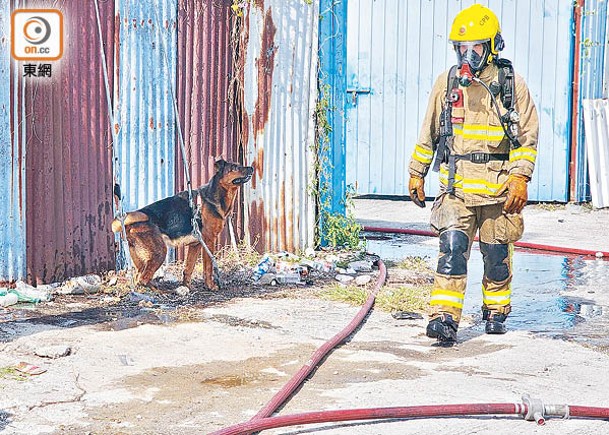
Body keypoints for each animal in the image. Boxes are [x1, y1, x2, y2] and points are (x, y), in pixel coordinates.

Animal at [111, 159, 252, 290]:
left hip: (142, 258)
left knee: (138, 277)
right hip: (160, 252)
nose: (251, 168)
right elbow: (208, 267)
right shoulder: (209, 240)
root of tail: (128, 225)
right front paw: (210, 286)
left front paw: (186, 287)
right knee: (143, 278)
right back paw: (160, 292)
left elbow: (188, 268)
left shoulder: (195, 244)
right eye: (235, 167)